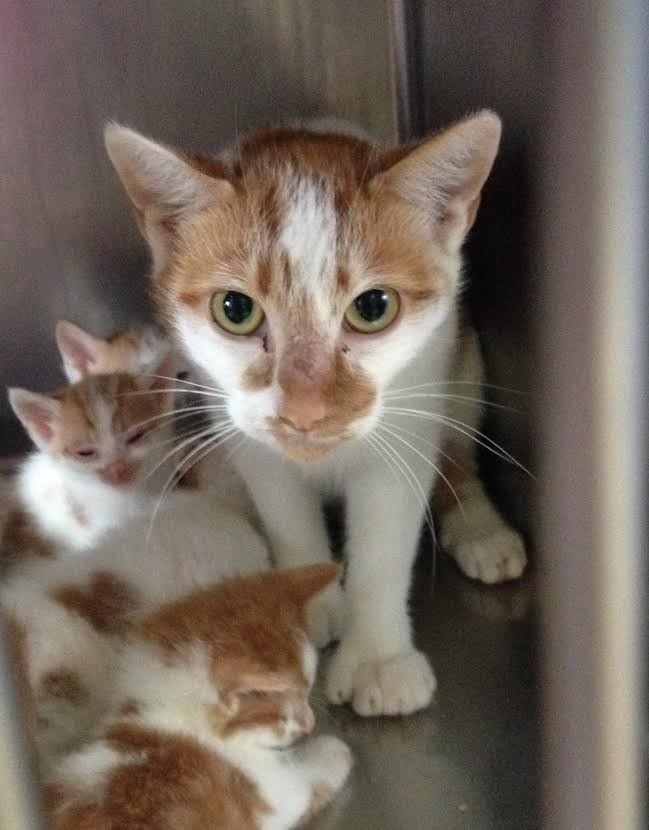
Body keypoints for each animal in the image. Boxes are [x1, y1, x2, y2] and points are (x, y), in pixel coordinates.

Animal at [41, 564, 352, 830]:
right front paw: (333, 750)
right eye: (282, 717)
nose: (311, 722)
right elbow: (310, 779)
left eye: (308, 692)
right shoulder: (272, 798)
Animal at [102, 114, 528, 720]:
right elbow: (288, 516)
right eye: (235, 309)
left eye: (373, 308)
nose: (304, 407)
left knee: (459, 449)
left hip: (462, 363)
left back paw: (479, 526)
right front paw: (306, 595)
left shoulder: (409, 415)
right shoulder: (246, 434)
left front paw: (378, 657)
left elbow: (383, 545)